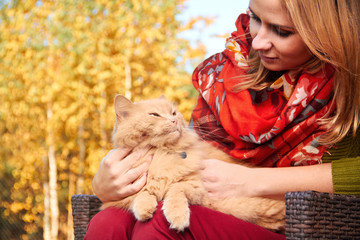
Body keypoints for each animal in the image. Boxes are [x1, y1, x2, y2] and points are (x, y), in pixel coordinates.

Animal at [101, 94, 284, 232]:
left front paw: (177, 216)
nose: (174, 121)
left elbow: (175, 190)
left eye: (173, 113)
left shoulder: (196, 185)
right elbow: (143, 192)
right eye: (154, 115)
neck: (162, 152)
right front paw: (145, 207)